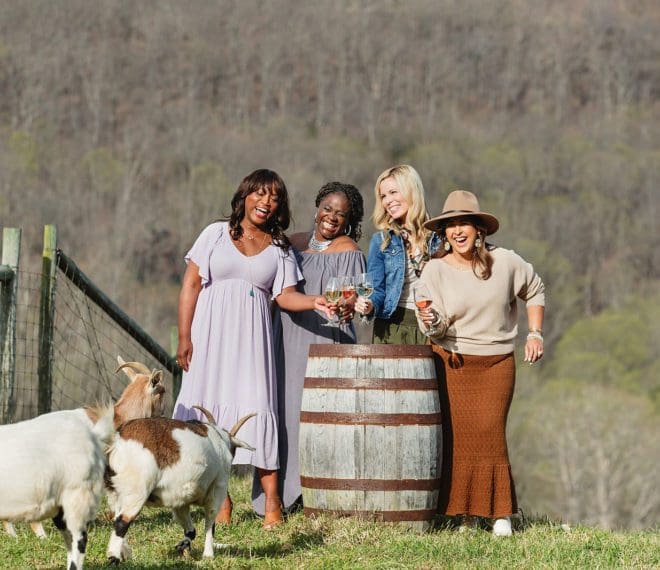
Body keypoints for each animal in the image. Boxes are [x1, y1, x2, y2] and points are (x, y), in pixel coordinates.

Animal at [107, 404, 254, 560]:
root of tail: (118, 440)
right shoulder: (218, 488)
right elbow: (210, 522)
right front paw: (208, 555)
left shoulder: (180, 501)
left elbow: (190, 530)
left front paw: (183, 547)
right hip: (137, 491)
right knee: (122, 522)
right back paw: (114, 558)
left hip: (116, 494)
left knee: (116, 518)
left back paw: (124, 554)